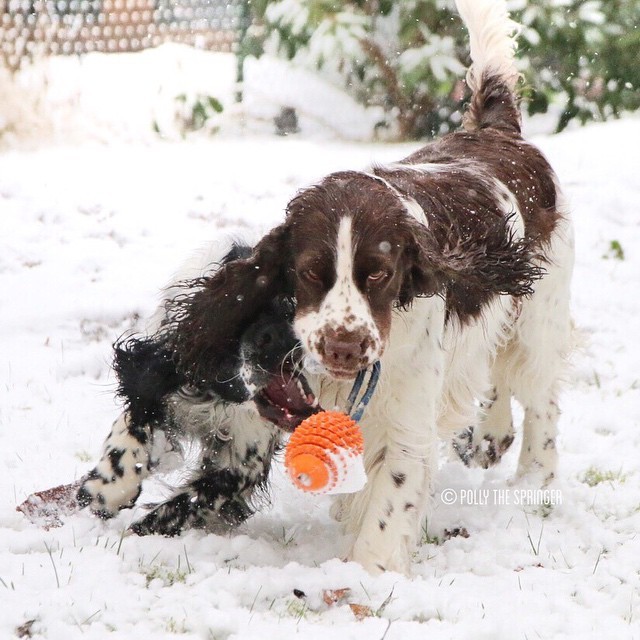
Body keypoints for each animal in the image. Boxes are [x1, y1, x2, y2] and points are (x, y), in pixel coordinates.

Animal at [77, 239, 318, 536]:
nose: (275, 339)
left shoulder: (242, 462)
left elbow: (187, 503)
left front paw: (136, 534)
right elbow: (134, 423)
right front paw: (106, 490)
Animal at [171, 0, 576, 572]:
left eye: (379, 274)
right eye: (311, 272)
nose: (344, 346)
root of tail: (497, 130)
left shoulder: (405, 420)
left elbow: (389, 506)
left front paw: (366, 578)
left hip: (541, 312)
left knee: (540, 393)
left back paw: (533, 482)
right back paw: (490, 436)